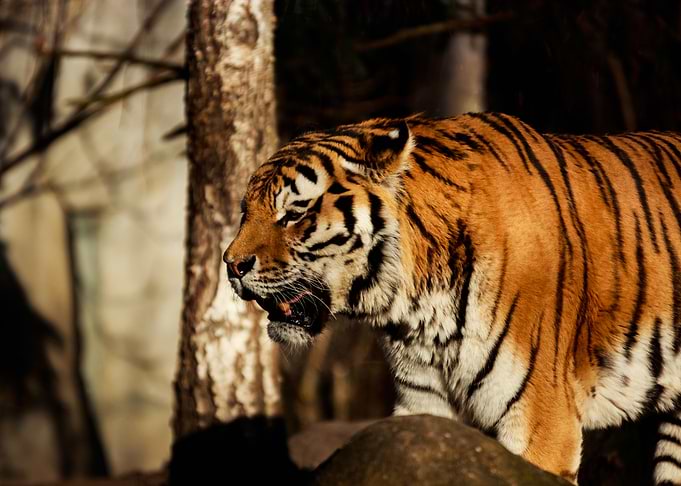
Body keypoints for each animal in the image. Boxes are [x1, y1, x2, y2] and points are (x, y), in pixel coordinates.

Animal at [223, 112, 681, 484]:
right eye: (246, 211)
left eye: (293, 214)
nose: (231, 265)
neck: (417, 309)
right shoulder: (423, 407)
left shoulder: (541, 419)